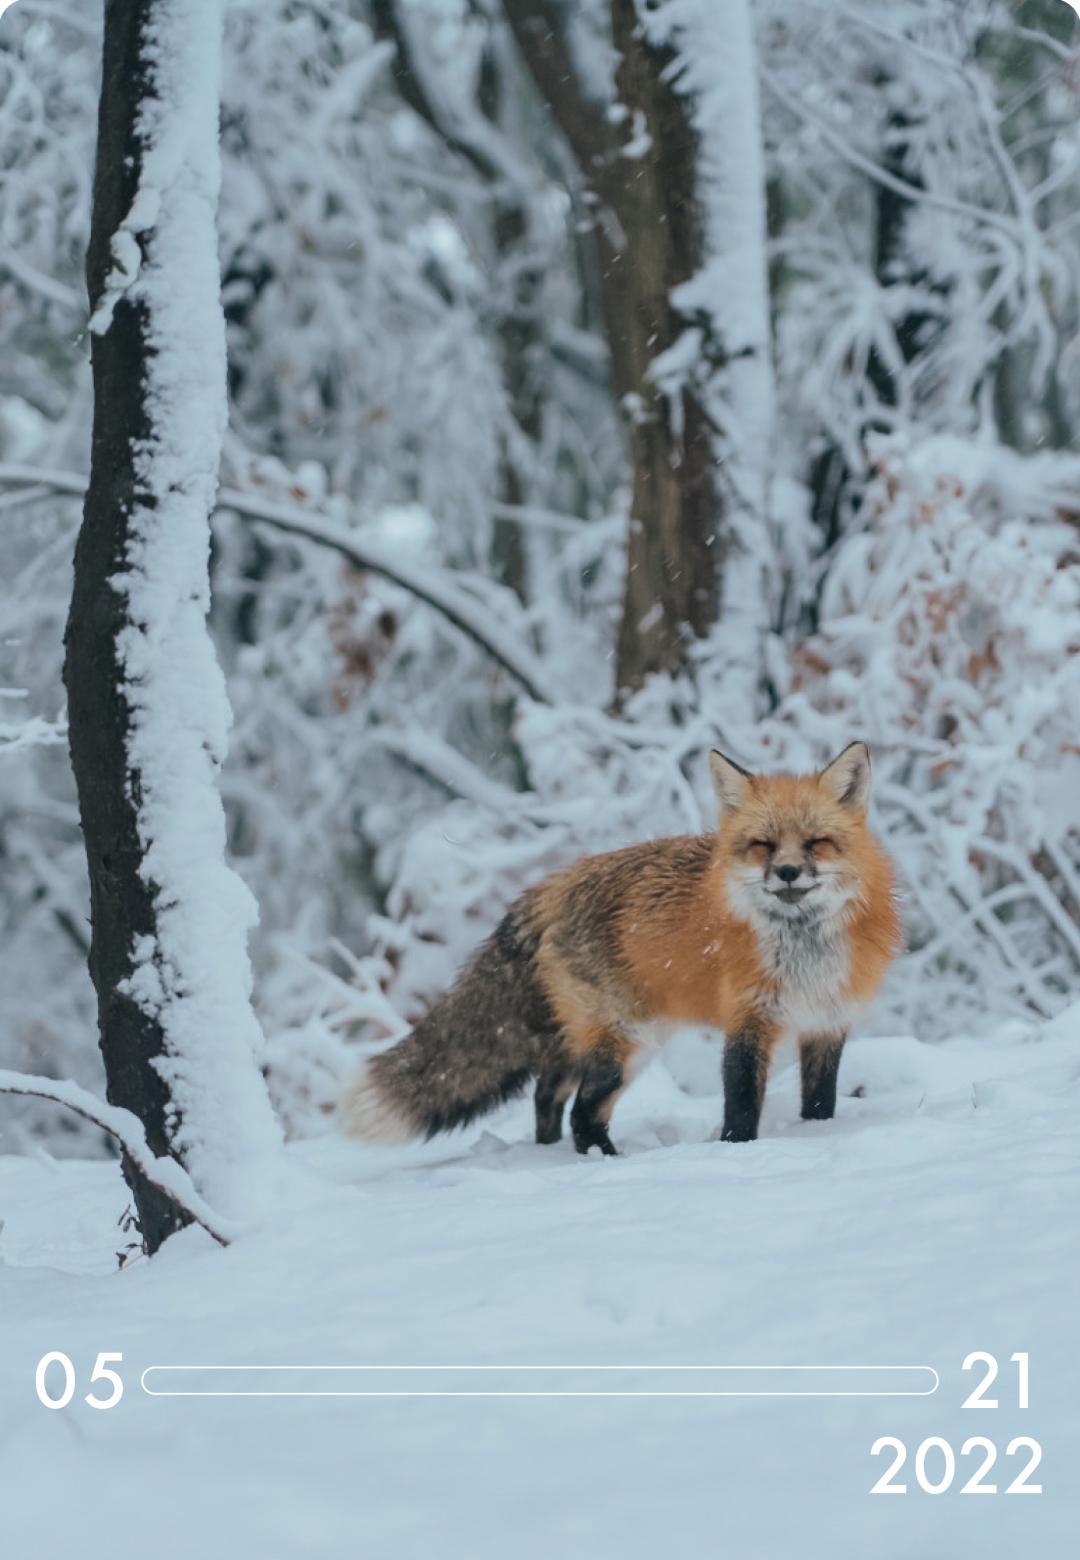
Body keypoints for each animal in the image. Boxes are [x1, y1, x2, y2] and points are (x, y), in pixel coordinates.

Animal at [341, 742, 898, 1160]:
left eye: (816, 842)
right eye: (762, 845)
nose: (786, 872)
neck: (805, 952)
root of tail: (549, 886)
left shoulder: (827, 1021)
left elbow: (820, 1102)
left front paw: (816, 1135)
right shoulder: (748, 1019)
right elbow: (740, 1104)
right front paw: (736, 1154)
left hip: (585, 1040)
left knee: (548, 1094)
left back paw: (549, 1156)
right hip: (624, 1042)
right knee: (583, 1112)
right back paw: (608, 1163)